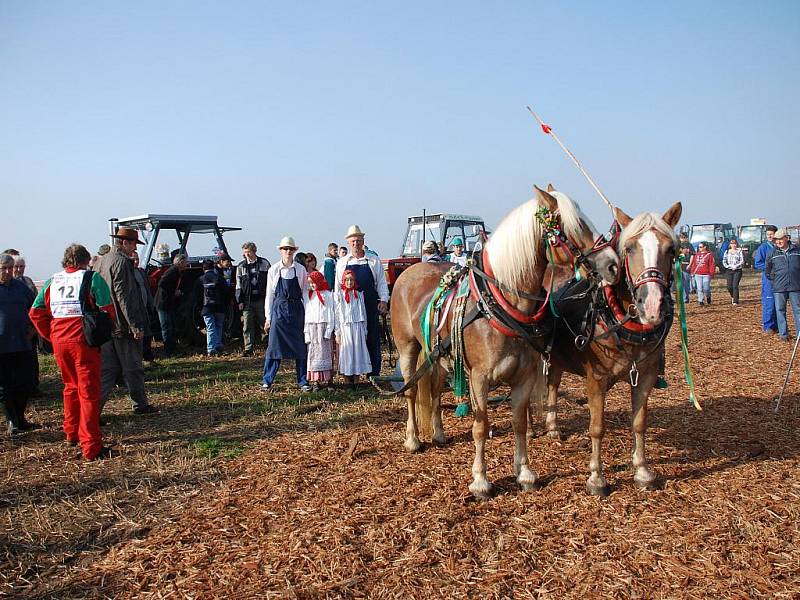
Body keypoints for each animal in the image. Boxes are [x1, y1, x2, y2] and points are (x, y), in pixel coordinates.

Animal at [390, 185, 620, 500]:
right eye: (571, 226)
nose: (613, 265)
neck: (502, 305)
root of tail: (409, 272)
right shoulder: (479, 378)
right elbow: (480, 425)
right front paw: (480, 480)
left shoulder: (524, 377)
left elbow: (519, 423)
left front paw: (524, 473)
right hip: (408, 348)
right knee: (412, 392)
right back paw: (413, 439)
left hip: (439, 355)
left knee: (435, 389)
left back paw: (438, 433)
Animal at [532, 200, 680, 492]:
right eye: (630, 248)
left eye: (671, 249)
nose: (653, 305)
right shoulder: (596, 379)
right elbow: (597, 427)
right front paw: (596, 477)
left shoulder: (645, 376)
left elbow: (639, 423)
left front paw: (642, 471)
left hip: (558, 357)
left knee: (553, 383)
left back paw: (553, 426)